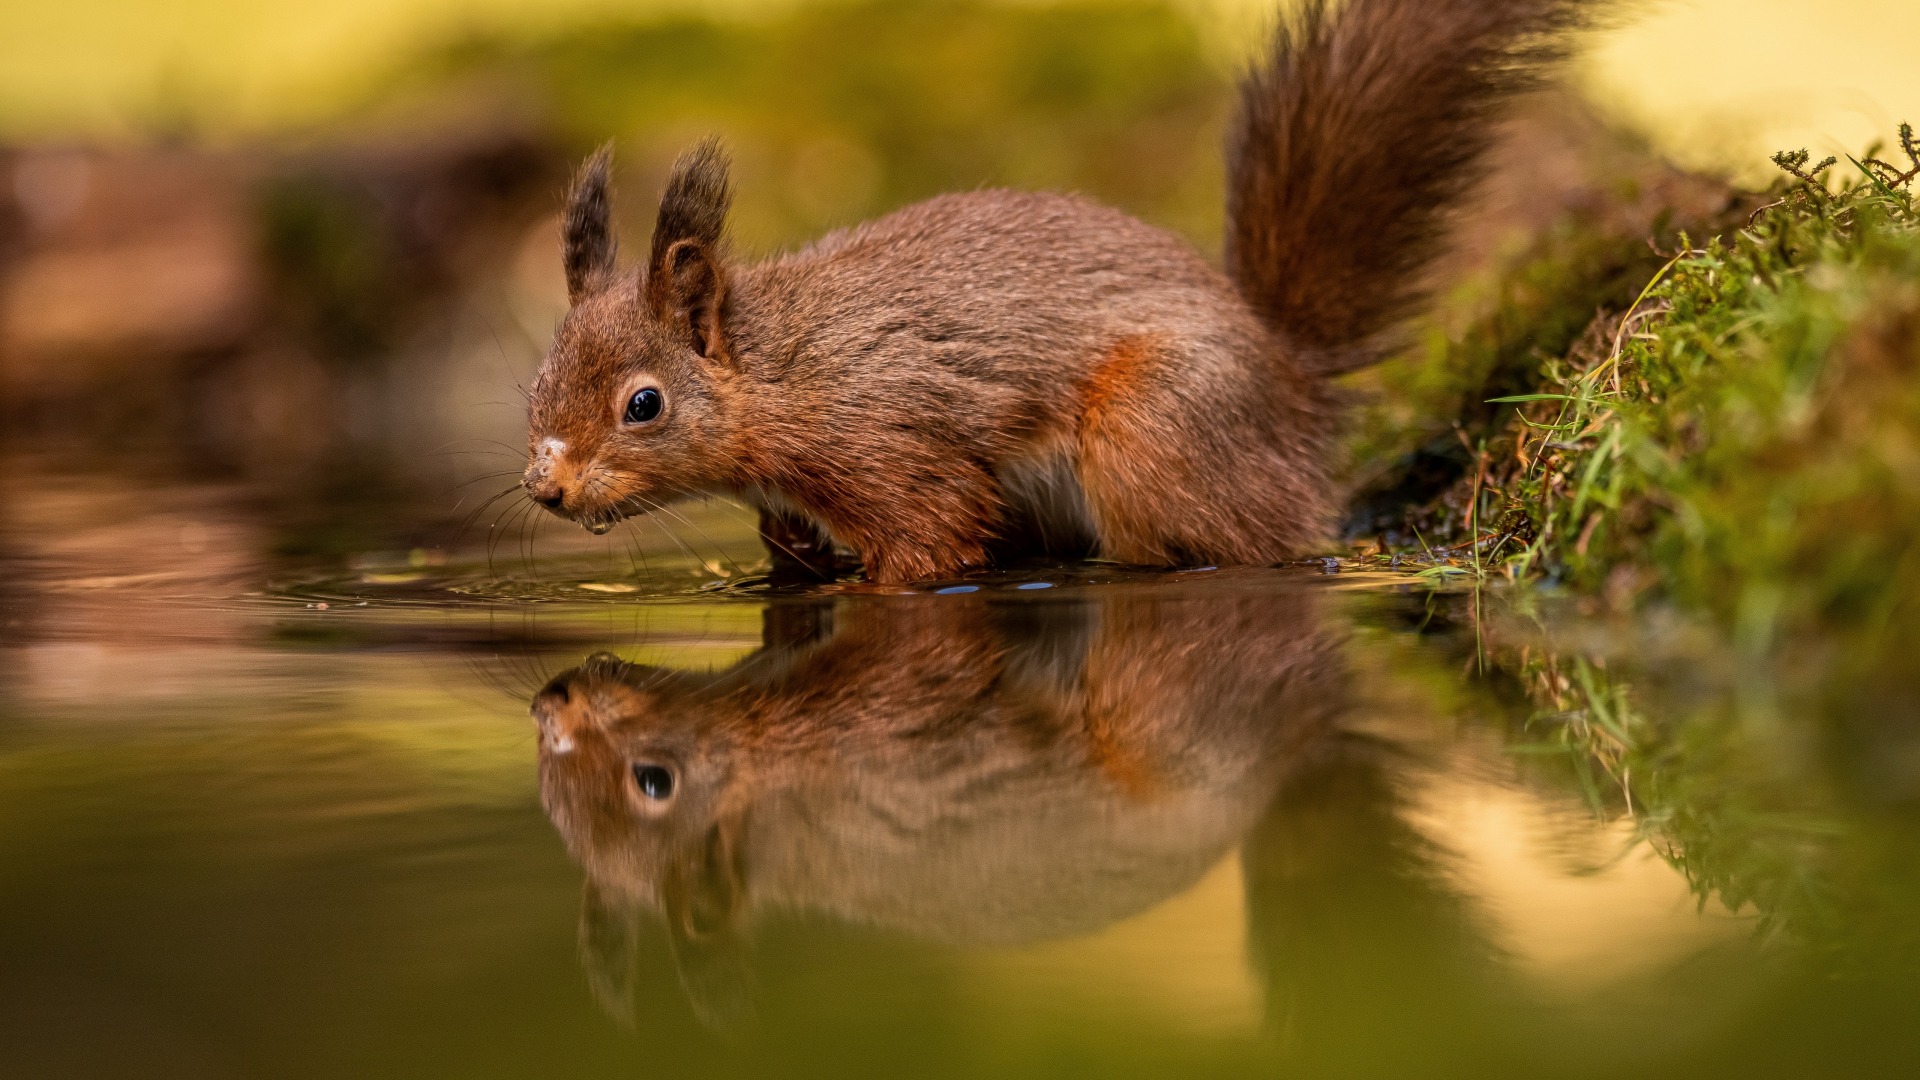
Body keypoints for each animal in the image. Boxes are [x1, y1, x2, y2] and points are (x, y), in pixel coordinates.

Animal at [518, 0, 1597, 580]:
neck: (783, 370)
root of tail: (1287, 376)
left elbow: (933, 536)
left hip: (1154, 430)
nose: (547, 489)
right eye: (532, 389)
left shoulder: (888, 447)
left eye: (644, 405)